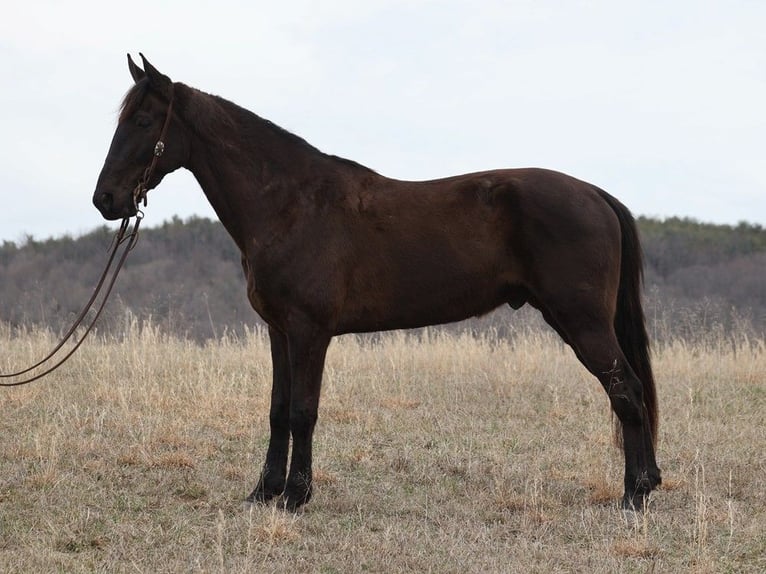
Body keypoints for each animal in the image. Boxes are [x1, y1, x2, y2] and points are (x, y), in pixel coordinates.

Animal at [94, 55, 660, 512]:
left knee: (627, 391)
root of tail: (594, 194)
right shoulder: (279, 332)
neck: (291, 204)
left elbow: (303, 412)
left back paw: (635, 495)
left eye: (142, 120)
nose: (106, 200)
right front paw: (264, 492)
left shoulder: (310, 332)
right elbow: (278, 410)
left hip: (582, 323)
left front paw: (296, 495)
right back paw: (645, 485)